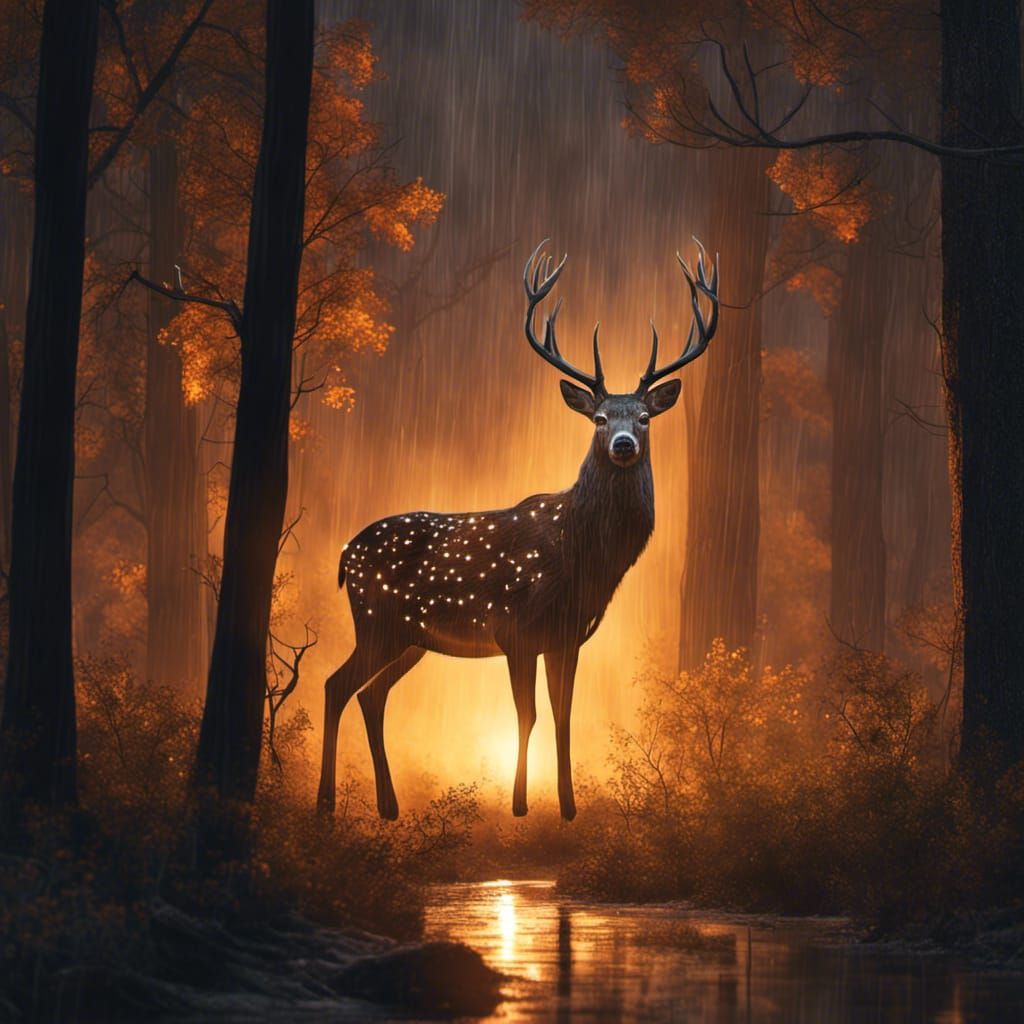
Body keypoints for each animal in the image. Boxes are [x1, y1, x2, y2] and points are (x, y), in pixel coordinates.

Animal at [317, 239, 719, 821]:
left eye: (644, 417)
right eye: (599, 419)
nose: (623, 443)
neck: (581, 559)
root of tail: (345, 556)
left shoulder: (568, 636)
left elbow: (564, 714)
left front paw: (569, 808)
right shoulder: (516, 628)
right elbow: (526, 715)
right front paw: (520, 805)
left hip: (410, 638)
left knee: (370, 694)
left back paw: (388, 807)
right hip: (376, 621)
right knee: (335, 685)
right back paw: (326, 802)